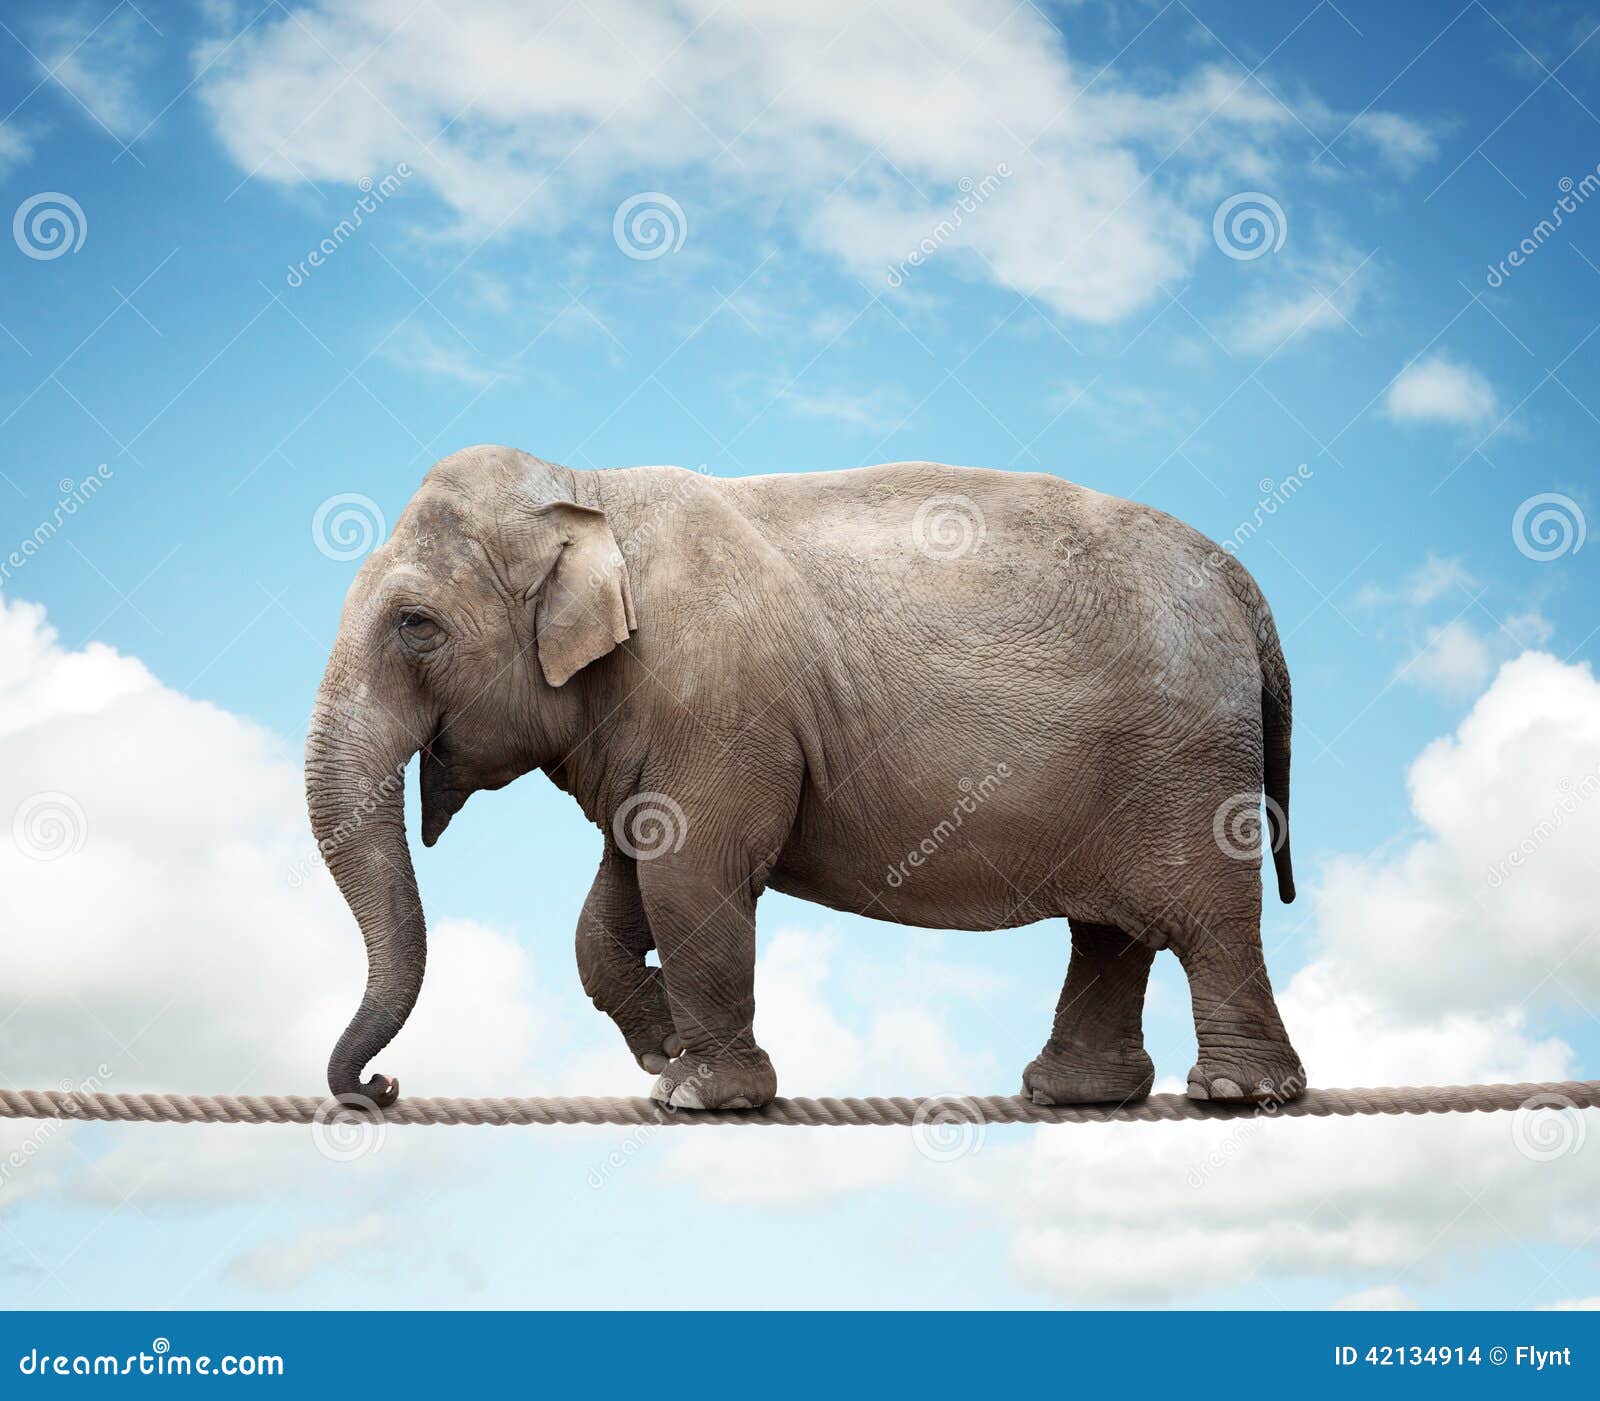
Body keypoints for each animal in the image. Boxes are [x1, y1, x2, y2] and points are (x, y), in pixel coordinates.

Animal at [306, 445, 1304, 1112]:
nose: (383, 1085)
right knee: (1111, 932)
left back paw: (1236, 1089)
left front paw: (698, 1091)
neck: (587, 491)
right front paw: (665, 1045)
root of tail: (1245, 588)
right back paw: (1078, 1092)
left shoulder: (721, 703)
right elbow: (624, 885)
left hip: (1188, 758)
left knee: (1210, 920)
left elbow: (689, 870)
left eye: (416, 625)